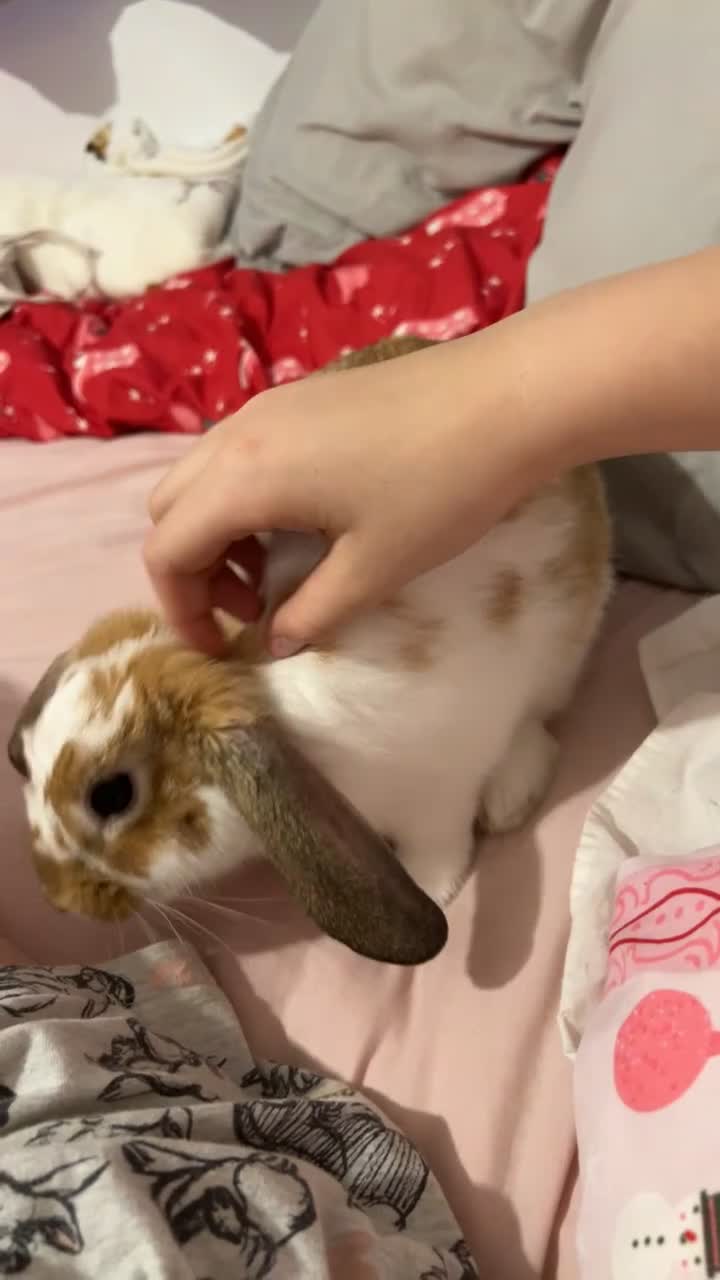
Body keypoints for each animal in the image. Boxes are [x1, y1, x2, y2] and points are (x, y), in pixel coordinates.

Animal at [6, 336, 612, 966]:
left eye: (112, 795)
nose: (58, 899)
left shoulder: (436, 794)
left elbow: (440, 850)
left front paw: (437, 892)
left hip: (563, 648)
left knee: (538, 722)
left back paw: (511, 794)